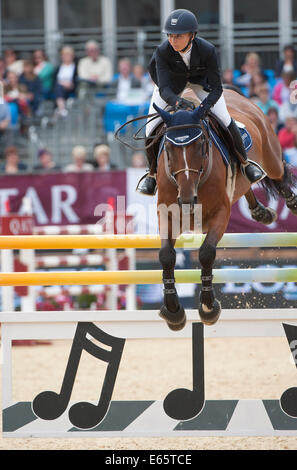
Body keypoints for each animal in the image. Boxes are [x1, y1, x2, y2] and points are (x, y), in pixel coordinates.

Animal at [154, 87, 296, 330]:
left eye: (201, 145)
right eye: (169, 149)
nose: (187, 200)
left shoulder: (221, 213)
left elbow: (206, 253)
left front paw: (208, 308)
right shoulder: (167, 214)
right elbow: (166, 255)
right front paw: (174, 313)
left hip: (271, 157)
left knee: (278, 174)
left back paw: (291, 202)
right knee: (246, 182)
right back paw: (260, 212)